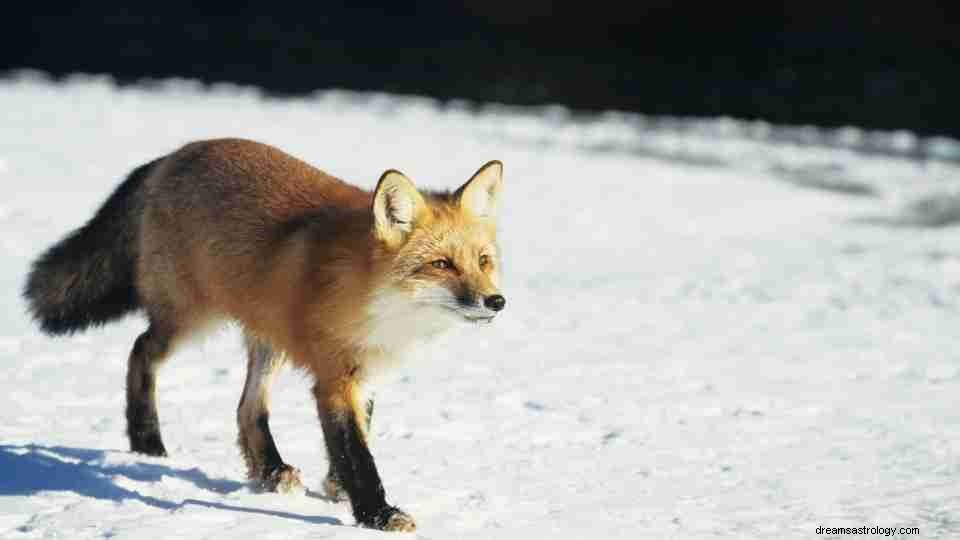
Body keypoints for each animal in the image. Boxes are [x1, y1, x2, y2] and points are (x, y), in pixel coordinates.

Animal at [22, 136, 506, 532]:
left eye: (483, 261)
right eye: (441, 264)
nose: (496, 302)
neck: (378, 302)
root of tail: (176, 154)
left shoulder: (365, 373)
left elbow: (356, 439)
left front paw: (338, 489)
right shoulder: (335, 378)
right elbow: (358, 454)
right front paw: (377, 514)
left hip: (265, 339)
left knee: (246, 409)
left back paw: (271, 470)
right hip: (190, 319)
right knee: (140, 351)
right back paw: (147, 443)